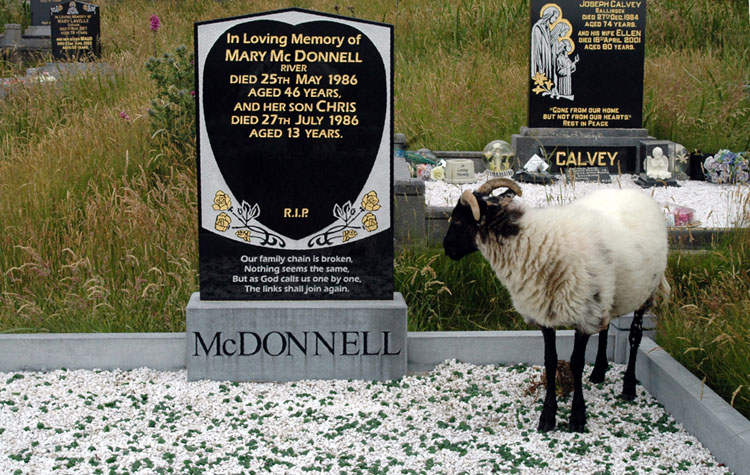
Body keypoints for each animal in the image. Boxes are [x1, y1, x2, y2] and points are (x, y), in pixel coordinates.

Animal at [440, 178, 668, 432]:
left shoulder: (583, 314)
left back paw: (628, 387)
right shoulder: (545, 312)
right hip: (608, 295)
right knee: (606, 328)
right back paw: (599, 371)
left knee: (634, 336)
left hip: (645, 292)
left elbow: (576, 363)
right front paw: (548, 415)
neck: (536, 243)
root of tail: (634, 193)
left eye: (458, 221)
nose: (446, 248)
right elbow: (550, 361)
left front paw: (577, 416)